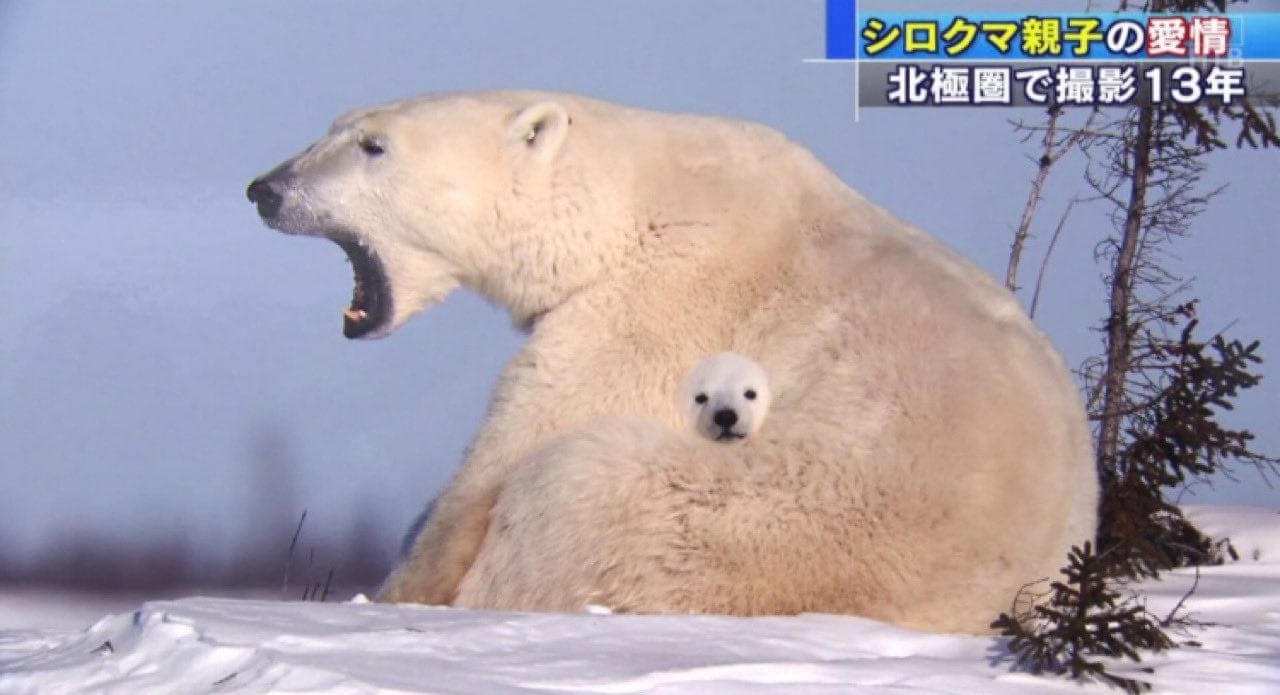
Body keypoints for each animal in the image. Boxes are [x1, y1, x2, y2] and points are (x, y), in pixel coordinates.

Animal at [249, 89, 1100, 634]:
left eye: (373, 146)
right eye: (335, 126)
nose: (265, 187)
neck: (628, 203)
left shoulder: (657, 304)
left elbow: (510, 452)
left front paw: (396, 594)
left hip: (752, 528)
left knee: (572, 481)